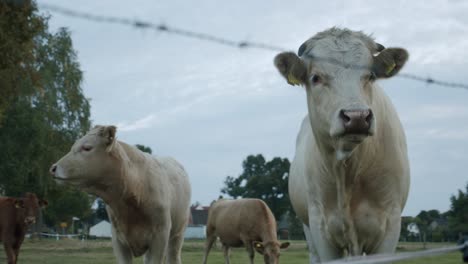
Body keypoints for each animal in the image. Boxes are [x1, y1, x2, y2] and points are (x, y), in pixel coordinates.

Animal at [50, 126, 191, 264]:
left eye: (87, 148)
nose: (53, 168)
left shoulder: (160, 235)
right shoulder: (118, 238)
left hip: (178, 234)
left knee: (174, 257)